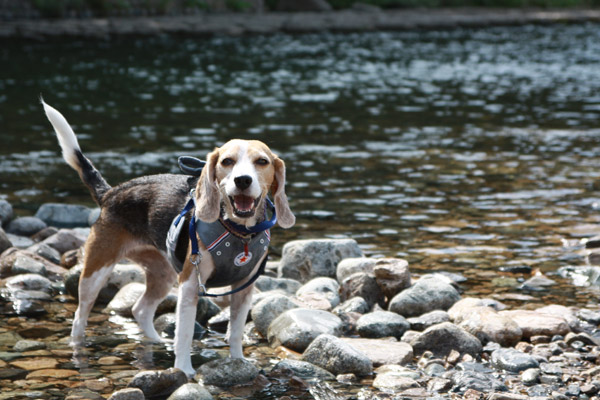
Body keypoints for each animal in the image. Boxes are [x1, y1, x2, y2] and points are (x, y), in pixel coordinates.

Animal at [42, 101, 296, 376]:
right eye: (227, 161)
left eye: (262, 161)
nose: (242, 180)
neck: (238, 232)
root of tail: (111, 193)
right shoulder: (189, 284)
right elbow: (184, 333)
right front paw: (184, 371)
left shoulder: (244, 289)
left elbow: (236, 332)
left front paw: (238, 362)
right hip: (95, 271)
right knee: (80, 315)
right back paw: (79, 348)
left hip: (162, 273)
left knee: (140, 309)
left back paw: (155, 341)